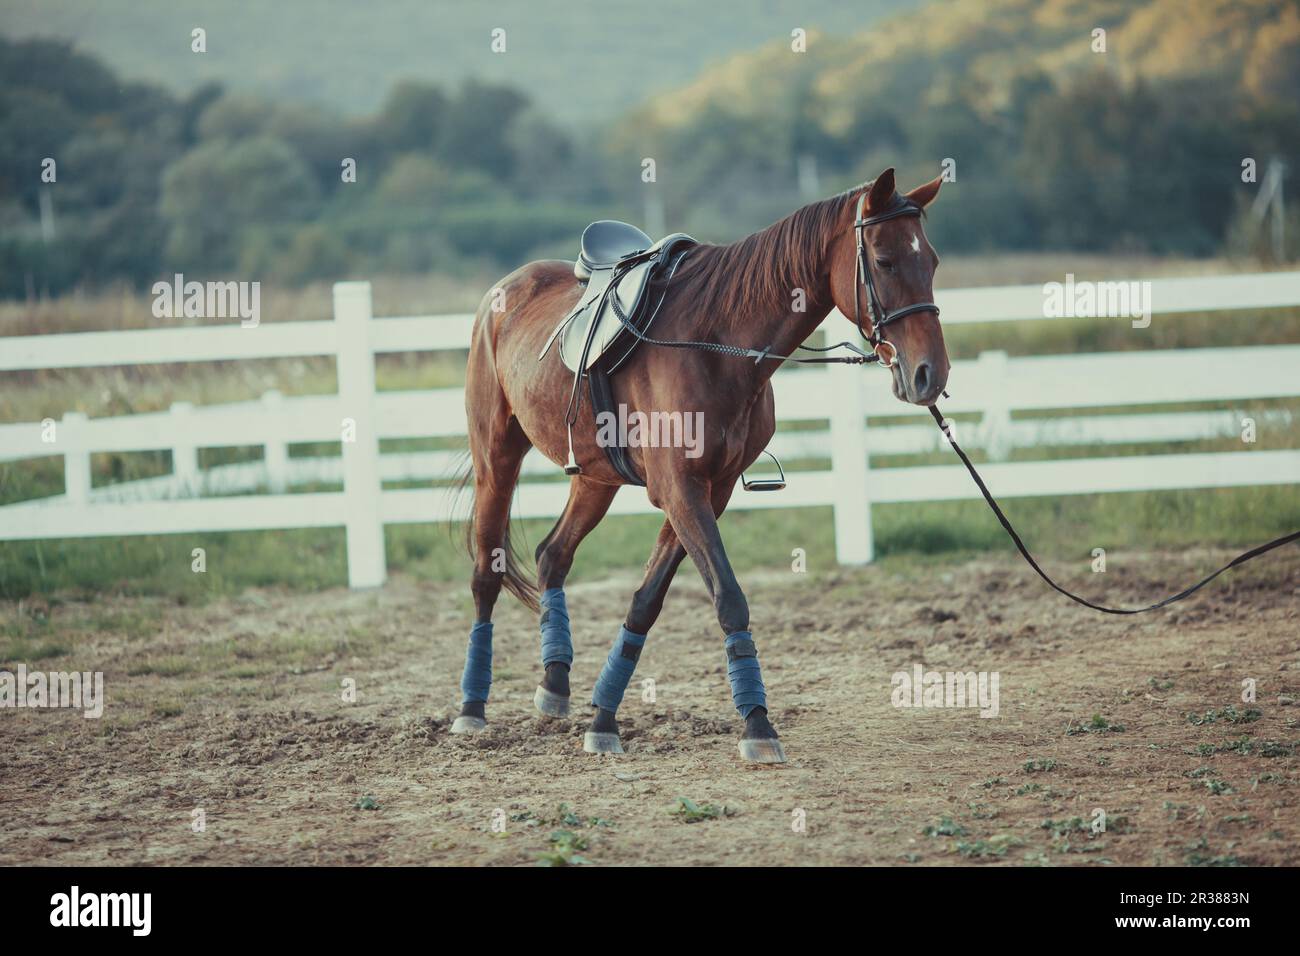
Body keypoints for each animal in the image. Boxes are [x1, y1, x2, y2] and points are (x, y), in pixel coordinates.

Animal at [451, 167, 949, 763]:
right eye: (885, 261)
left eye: (932, 262)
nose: (929, 374)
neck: (715, 342)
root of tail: (502, 292)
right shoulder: (681, 489)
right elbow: (728, 597)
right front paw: (757, 724)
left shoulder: (711, 489)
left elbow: (646, 600)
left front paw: (604, 717)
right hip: (496, 457)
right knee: (486, 573)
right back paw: (472, 706)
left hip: (595, 477)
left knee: (553, 555)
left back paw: (555, 682)